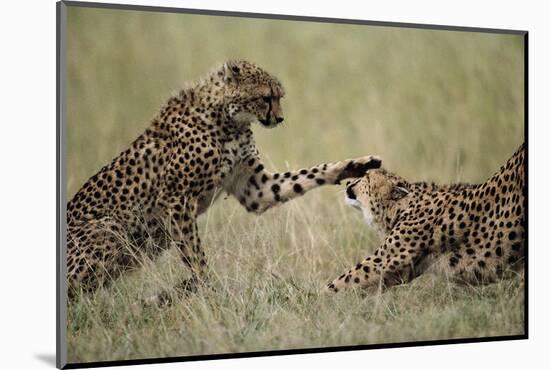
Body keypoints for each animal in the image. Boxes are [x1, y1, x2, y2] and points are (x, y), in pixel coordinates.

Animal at [67, 60, 382, 298]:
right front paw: (206, 291)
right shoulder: (175, 199)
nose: (279, 119)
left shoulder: (256, 189)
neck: (229, 119)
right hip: (108, 230)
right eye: (266, 97)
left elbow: (305, 176)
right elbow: (195, 254)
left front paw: (354, 165)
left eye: (279, 97)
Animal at [326, 143, 528, 294]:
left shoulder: (387, 261)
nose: (347, 182)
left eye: (365, 177)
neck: (402, 208)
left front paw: (319, 304)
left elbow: (341, 283)